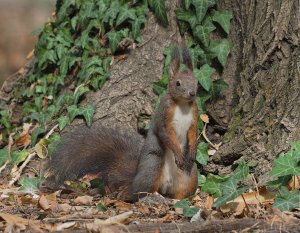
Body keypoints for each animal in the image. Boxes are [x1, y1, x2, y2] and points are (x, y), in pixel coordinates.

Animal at [40, 46, 199, 201]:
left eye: (196, 82)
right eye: (178, 83)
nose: (192, 93)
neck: (183, 105)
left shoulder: (194, 115)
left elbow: (193, 133)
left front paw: (192, 151)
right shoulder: (164, 114)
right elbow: (165, 133)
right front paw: (178, 153)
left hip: (190, 177)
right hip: (152, 167)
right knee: (137, 192)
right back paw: (133, 194)